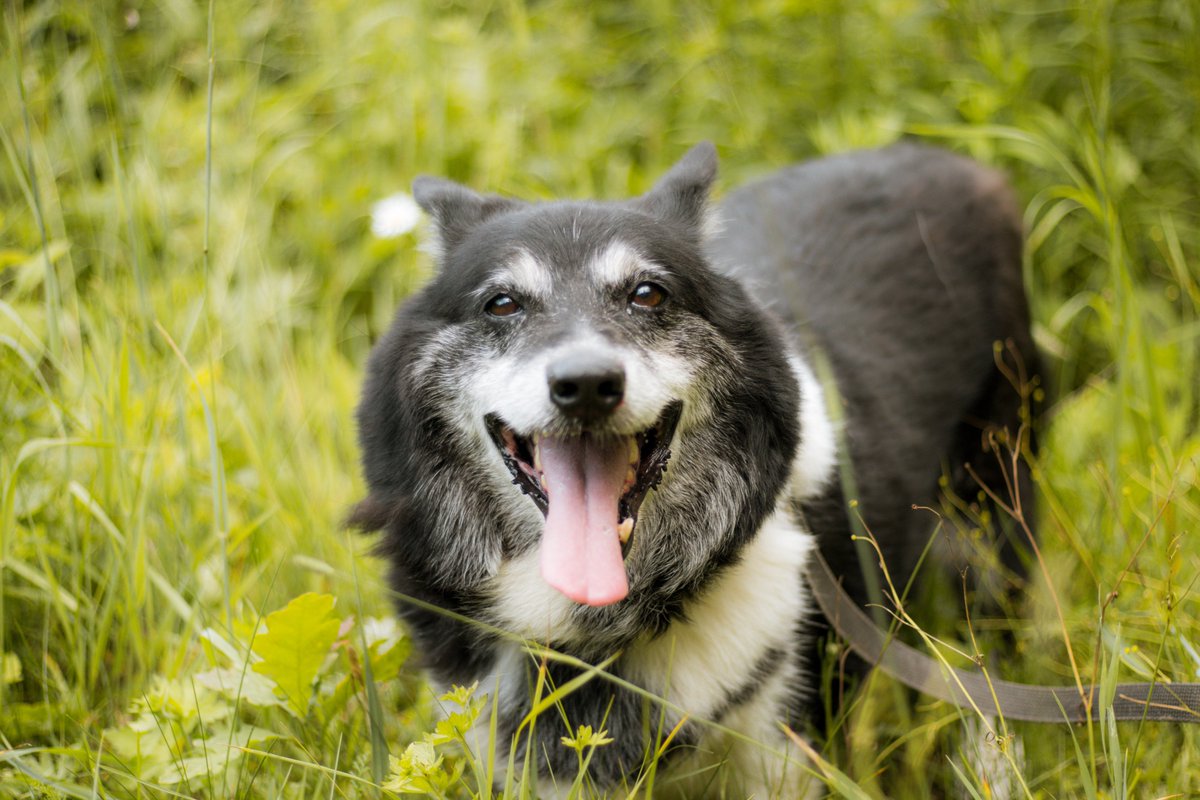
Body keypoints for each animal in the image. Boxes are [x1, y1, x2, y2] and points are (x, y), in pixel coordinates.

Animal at [350, 140, 1036, 796]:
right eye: (501, 304)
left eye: (647, 294)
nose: (586, 384)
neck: (600, 634)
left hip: (994, 506)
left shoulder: (783, 750)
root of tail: (949, 159)